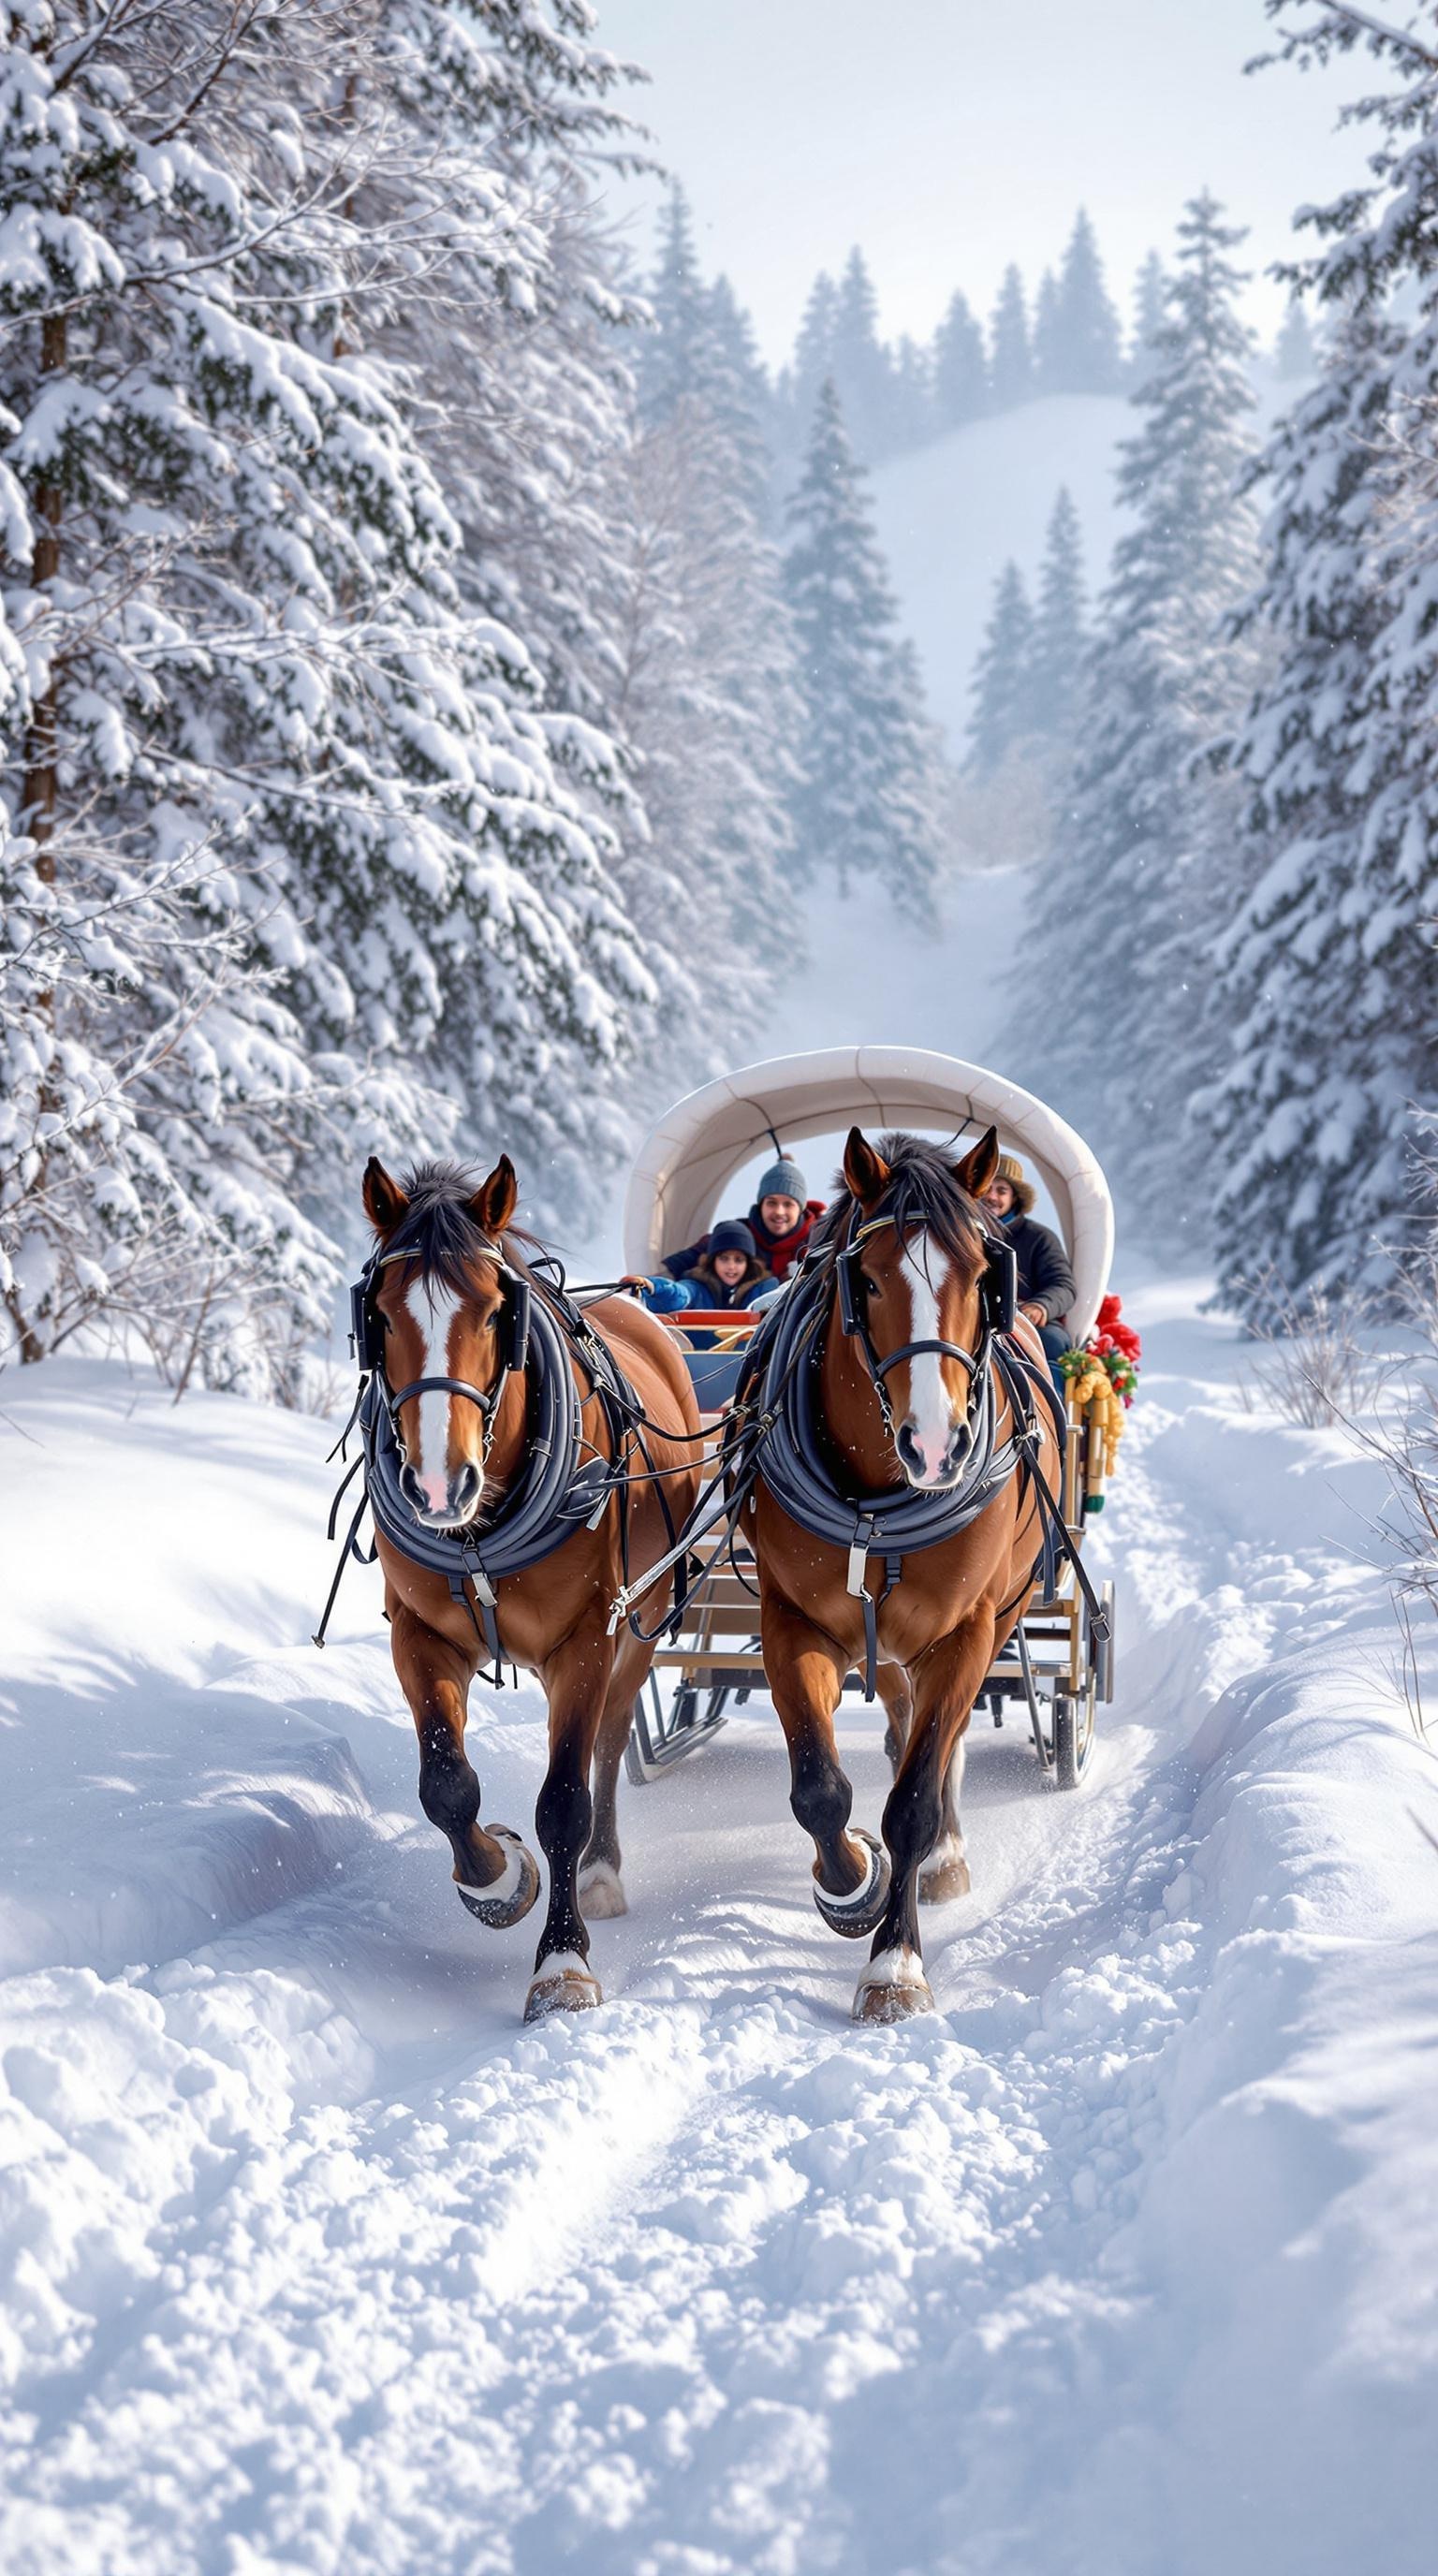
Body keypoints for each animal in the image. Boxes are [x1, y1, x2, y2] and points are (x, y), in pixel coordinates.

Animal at [358, 1159, 700, 2019]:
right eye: (380, 1313)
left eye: (493, 1311)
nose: (439, 1486)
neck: (479, 1530)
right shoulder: (418, 1635)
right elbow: (446, 1786)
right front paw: (498, 1878)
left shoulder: (586, 1639)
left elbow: (564, 1802)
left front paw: (563, 1963)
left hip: (637, 1630)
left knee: (610, 1743)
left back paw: (604, 1872)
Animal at [747, 1128, 1066, 2029]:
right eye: (868, 1278)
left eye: (986, 1277)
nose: (936, 1446)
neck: (880, 1502)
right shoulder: (792, 1622)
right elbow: (819, 1790)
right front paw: (851, 1886)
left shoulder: (964, 1632)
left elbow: (916, 1799)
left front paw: (894, 1966)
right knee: (896, 1717)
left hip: (996, 1618)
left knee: (939, 1743)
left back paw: (946, 1858)